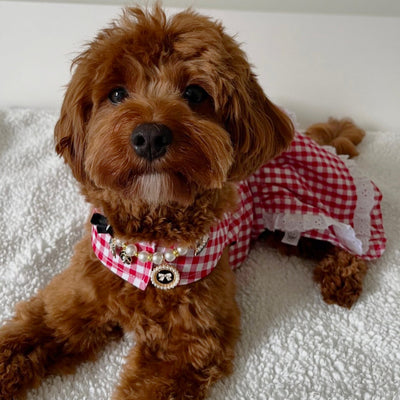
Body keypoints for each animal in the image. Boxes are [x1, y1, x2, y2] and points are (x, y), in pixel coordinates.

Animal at [0, 6, 388, 400]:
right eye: (117, 93)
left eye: (194, 93)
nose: (150, 136)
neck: (149, 244)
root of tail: (315, 139)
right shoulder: (68, 307)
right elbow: (22, 338)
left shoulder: (188, 345)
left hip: (310, 213)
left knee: (356, 244)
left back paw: (340, 279)